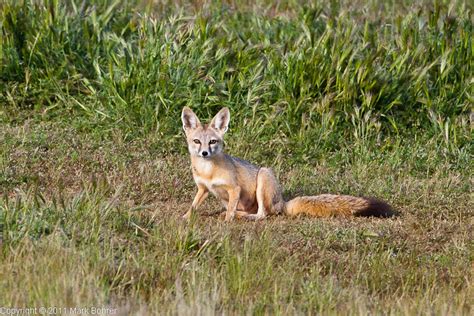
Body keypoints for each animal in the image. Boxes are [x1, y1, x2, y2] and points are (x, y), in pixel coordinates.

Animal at [180, 107, 394, 221]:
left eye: (212, 142)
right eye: (197, 141)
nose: (204, 153)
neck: (208, 171)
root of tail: (282, 202)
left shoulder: (235, 189)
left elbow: (230, 211)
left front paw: (226, 222)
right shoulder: (203, 189)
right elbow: (193, 206)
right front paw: (185, 218)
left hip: (264, 176)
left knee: (263, 214)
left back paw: (245, 217)